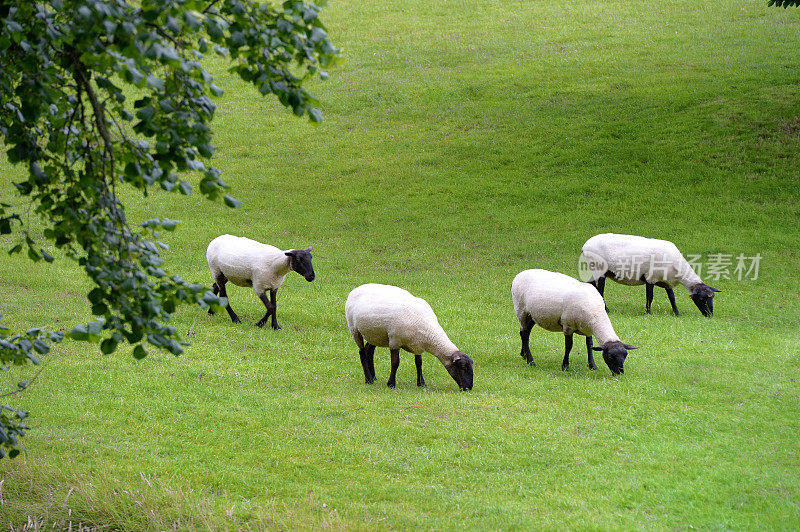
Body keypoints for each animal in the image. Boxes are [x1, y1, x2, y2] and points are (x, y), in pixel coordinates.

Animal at [346, 282, 476, 390]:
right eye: (463, 367)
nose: (468, 388)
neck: (429, 332)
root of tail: (357, 288)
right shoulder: (394, 341)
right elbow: (395, 363)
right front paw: (391, 384)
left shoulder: (417, 345)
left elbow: (419, 362)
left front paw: (421, 383)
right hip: (354, 329)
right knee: (362, 352)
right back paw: (368, 379)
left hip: (375, 334)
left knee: (369, 351)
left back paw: (373, 377)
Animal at [580, 233, 720, 316]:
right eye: (702, 299)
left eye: (712, 297)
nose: (710, 315)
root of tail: (585, 245)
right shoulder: (650, 278)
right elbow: (650, 296)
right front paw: (648, 313)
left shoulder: (667, 281)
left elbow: (672, 298)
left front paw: (677, 313)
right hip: (599, 269)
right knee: (600, 291)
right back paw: (606, 310)